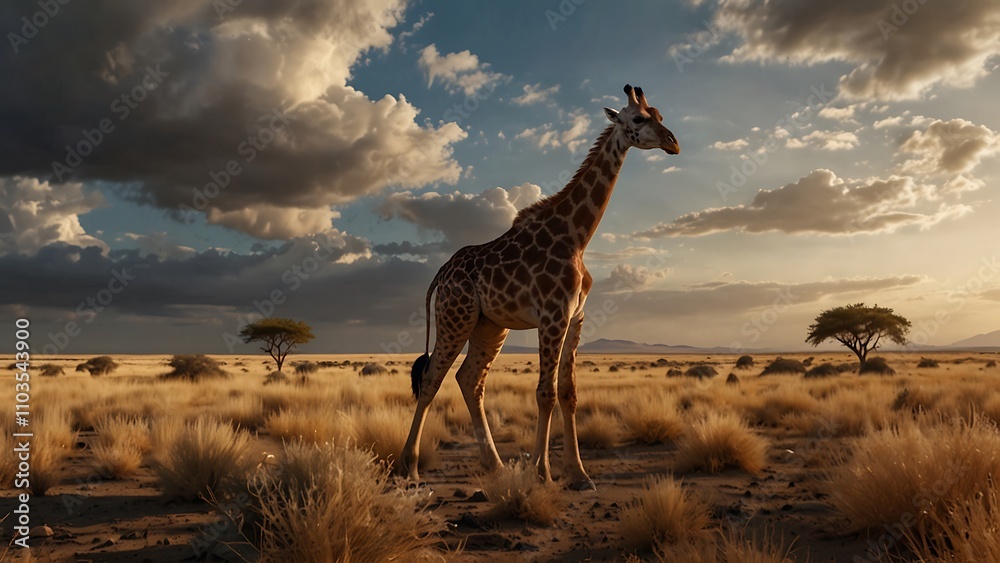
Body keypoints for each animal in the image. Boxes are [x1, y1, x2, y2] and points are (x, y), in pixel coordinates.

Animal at [400, 84, 679, 490]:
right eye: (639, 118)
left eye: (660, 115)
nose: (674, 143)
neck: (577, 237)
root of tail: (440, 274)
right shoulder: (552, 314)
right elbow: (545, 393)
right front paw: (543, 472)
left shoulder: (576, 317)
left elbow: (568, 393)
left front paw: (578, 475)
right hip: (456, 317)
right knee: (431, 378)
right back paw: (410, 468)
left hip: (489, 326)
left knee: (469, 379)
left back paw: (495, 465)